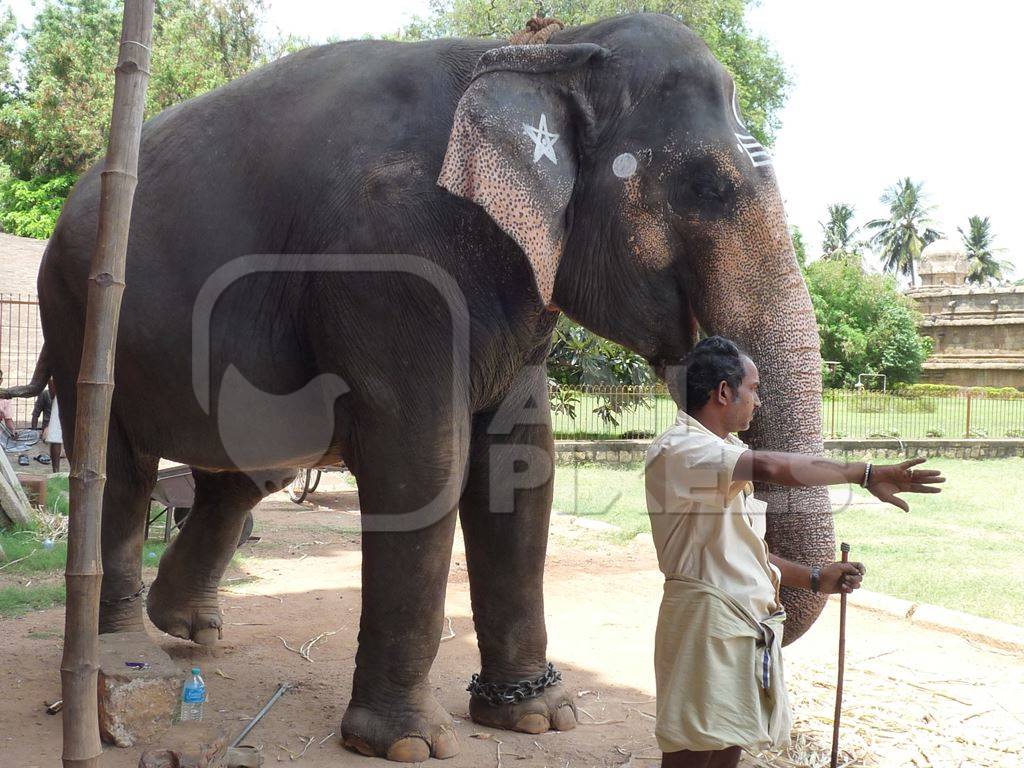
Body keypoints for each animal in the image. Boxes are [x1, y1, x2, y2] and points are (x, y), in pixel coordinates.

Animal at [24, 10, 835, 765]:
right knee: (119, 470)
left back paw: (188, 628)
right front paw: (407, 743)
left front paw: (537, 717)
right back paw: (122, 655)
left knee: (250, 468)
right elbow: (423, 462)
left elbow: (521, 467)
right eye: (710, 186)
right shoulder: (390, 262)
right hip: (77, 311)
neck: (539, 48)